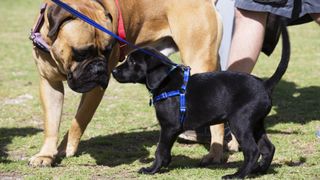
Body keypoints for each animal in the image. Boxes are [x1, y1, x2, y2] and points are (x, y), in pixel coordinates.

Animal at [28, 0, 224, 167]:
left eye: (107, 51)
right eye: (81, 53)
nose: (100, 68)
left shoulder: (95, 90)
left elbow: (80, 119)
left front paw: (67, 147)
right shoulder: (49, 83)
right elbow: (51, 123)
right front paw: (46, 155)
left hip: (199, 59)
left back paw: (215, 153)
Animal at [112, 23, 290, 178]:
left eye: (132, 62)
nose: (113, 71)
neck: (167, 82)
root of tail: (265, 85)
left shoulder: (169, 127)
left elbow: (160, 150)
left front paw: (152, 169)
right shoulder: (172, 129)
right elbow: (165, 151)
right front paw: (163, 165)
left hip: (240, 122)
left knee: (253, 151)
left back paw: (237, 175)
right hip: (256, 124)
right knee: (268, 148)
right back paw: (259, 170)